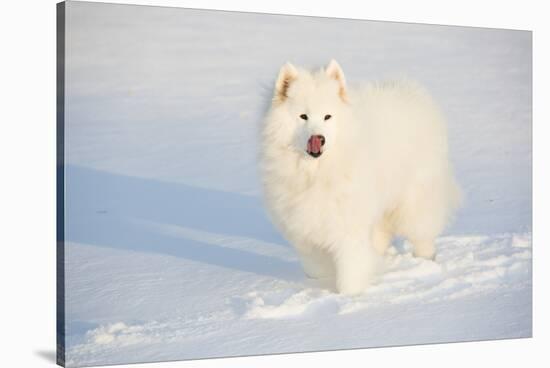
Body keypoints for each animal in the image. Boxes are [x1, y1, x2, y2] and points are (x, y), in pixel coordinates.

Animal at [260, 60, 464, 296]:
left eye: (327, 116)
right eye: (303, 116)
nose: (318, 138)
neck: (317, 173)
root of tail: (414, 93)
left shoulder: (348, 224)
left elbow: (351, 266)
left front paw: (351, 296)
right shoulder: (306, 226)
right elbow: (316, 264)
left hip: (414, 201)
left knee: (422, 233)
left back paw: (426, 261)